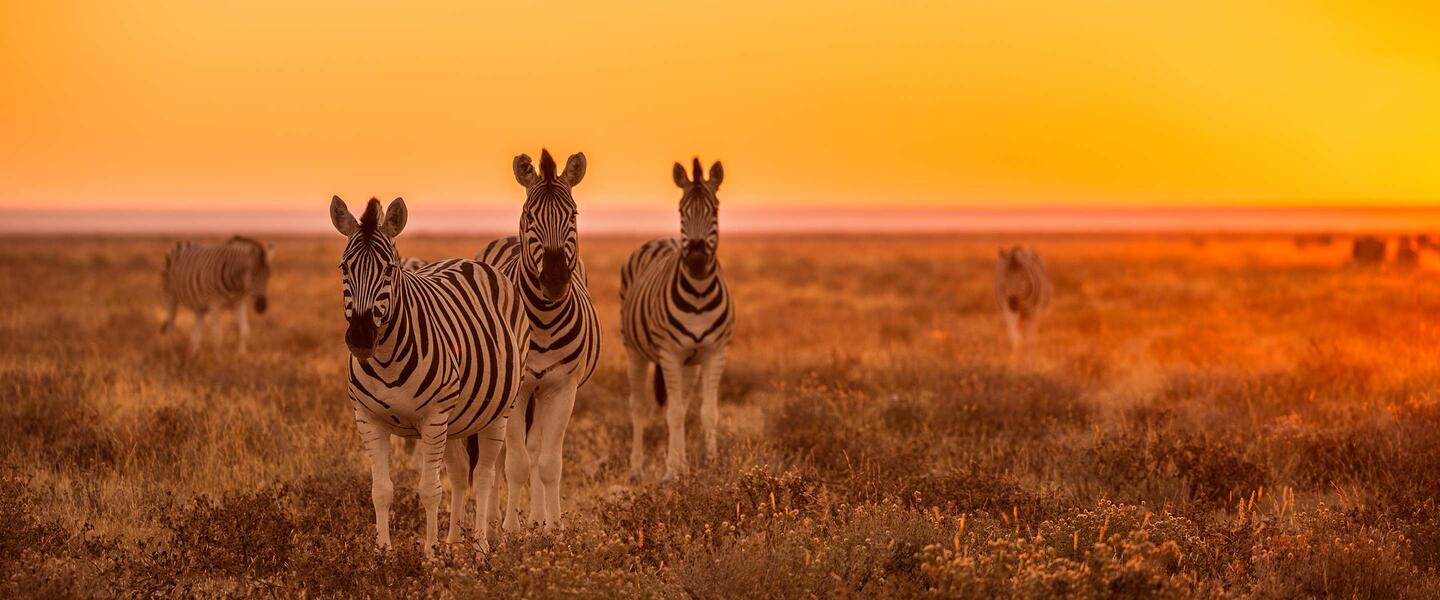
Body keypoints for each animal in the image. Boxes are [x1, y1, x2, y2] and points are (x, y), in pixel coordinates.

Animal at [328, 195, 529, 552]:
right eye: (344, 268)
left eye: (389, 269)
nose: (361, 338)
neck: (387, 359)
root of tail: (469, 261)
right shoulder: (367, 418)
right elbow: (381, 490)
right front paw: (383, 553)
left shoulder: (433, 418)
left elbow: (429, 491)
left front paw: (430, 556)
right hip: (456, 419)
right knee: (461, 474)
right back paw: (453, 544)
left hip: (498, 412)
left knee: (485, 476)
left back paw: (481, 546)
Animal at [475, 148, 599, 529]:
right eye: (530, 215)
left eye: (573, 214)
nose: (555, 280)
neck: (543, 319)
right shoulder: (518, 391)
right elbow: (514, 463)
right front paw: (509, 529)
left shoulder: (562, 388)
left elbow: (547, 463)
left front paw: (553, 527)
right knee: (502, 454)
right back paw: (497, 520)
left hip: (542, 393)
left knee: (535, 449)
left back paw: (536, 519)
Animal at [619, 156, 737, 480]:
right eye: (682, 211)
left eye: (714, 210)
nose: (695, 259)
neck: (698, 293)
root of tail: (662, 238)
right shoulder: (670, 353)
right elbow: (671, 413)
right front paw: (671, 471)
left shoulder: (714, 352)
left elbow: (707, 412)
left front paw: (711, 464)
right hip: (635, 351)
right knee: (639, 406)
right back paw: (636, 468)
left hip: (690, 363)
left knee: (682, 405)